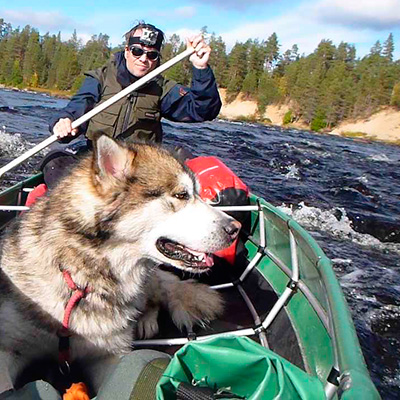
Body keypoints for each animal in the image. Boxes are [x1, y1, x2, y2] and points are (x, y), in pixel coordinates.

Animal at [0, 135, 239, 394]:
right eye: (181, 195)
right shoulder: (9, 346)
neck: (83, 281)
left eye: (196, 193)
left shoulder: (111, 355)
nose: (235, 229)